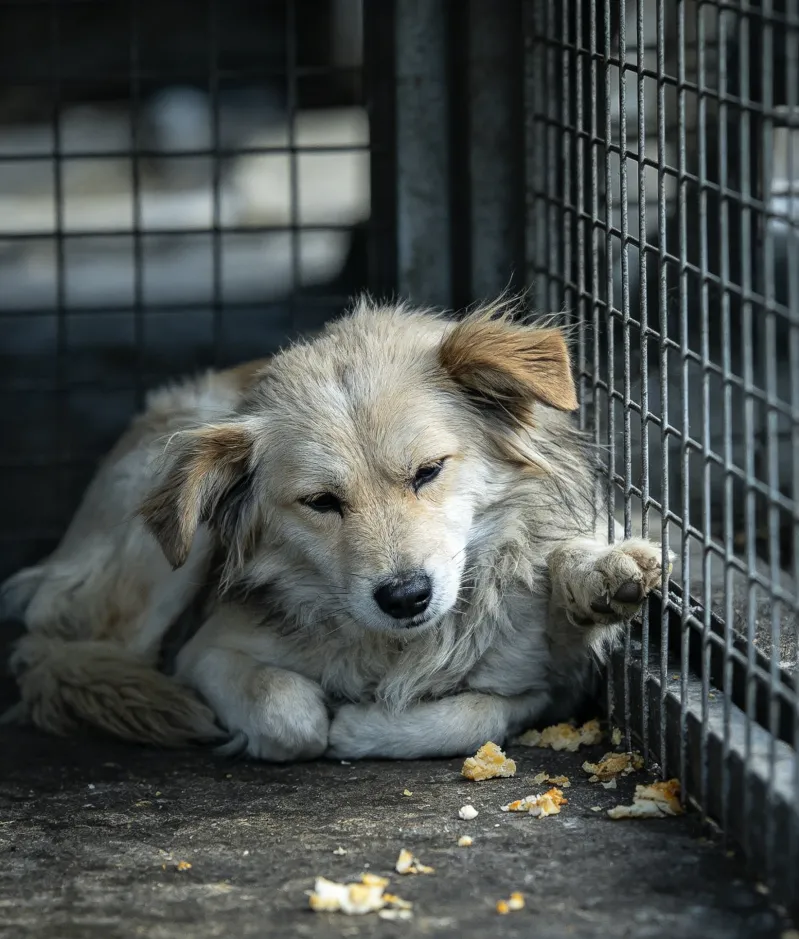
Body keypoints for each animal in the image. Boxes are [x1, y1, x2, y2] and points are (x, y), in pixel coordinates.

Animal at [2, 296, 668, 761]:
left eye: (428, 471)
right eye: (321, 502)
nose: (405, 597)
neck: (401, 645)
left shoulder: (550, 687)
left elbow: (478, 713)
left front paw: (601, 574)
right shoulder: (206, 652)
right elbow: (292, 715)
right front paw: (332, 723)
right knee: (68, 651)